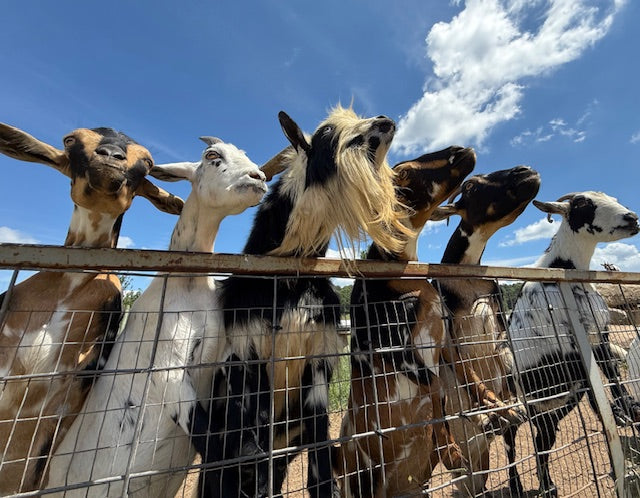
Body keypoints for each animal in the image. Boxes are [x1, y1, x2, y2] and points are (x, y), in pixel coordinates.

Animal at [44, 137, 268, 497]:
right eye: (212, 155)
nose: (258, 177)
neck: (186, 284)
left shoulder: (219, 351)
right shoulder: (168, 367)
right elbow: (208, 438)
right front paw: (246, 467)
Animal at [199, 106, 411, 498]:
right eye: (325, 131)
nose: (385, 122)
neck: (287, 284)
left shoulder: (318, 362)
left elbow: (320, 469)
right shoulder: (247, 355)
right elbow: (256, 458)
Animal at [337, 147, 522, 497]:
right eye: (404, 173)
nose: (460, 151)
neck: (399, 278)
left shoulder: (445, 338)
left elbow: (468, 374)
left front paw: (503, 409)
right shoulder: (399, 351)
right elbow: (437, 388)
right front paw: (451, 452)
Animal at [429, 165, 540, 496]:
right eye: (470, 186)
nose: (526, 171)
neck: (467, 280)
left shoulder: (500, 322)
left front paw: (509, 408)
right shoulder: (447, 333)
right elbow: (468, 375)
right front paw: (496, 410)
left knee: (505, 448)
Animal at [505, 191, 640, 496]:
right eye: (581, 204)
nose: (632, 218)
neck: (562, 270)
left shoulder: (599, 336)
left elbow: (611, 376)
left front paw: (626, 408)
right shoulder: (575, 349)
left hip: (557, 404)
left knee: (541, 440)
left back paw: (548, 485)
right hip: (525, 401)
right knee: (511, 437)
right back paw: (519, 485)